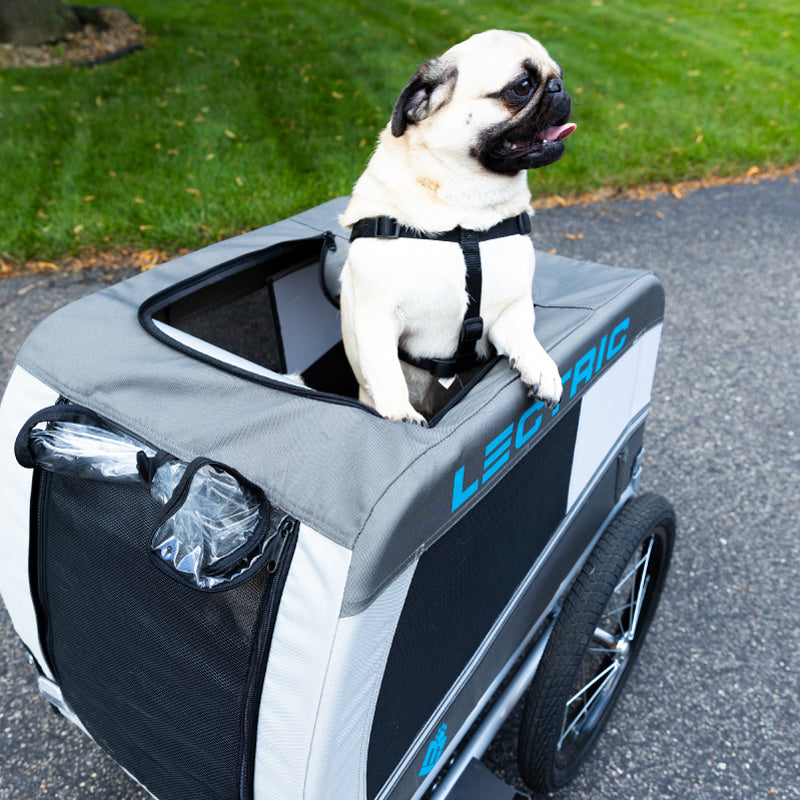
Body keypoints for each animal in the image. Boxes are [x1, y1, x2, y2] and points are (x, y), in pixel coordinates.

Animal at [338, 28, 576, 422]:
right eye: (523, 86)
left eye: (558, 74)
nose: (559, 87)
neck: (466, 215)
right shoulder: (376, 316)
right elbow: (386, 373)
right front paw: (401, 414)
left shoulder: (510, 308)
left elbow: (525, 336)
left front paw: (541, 367)